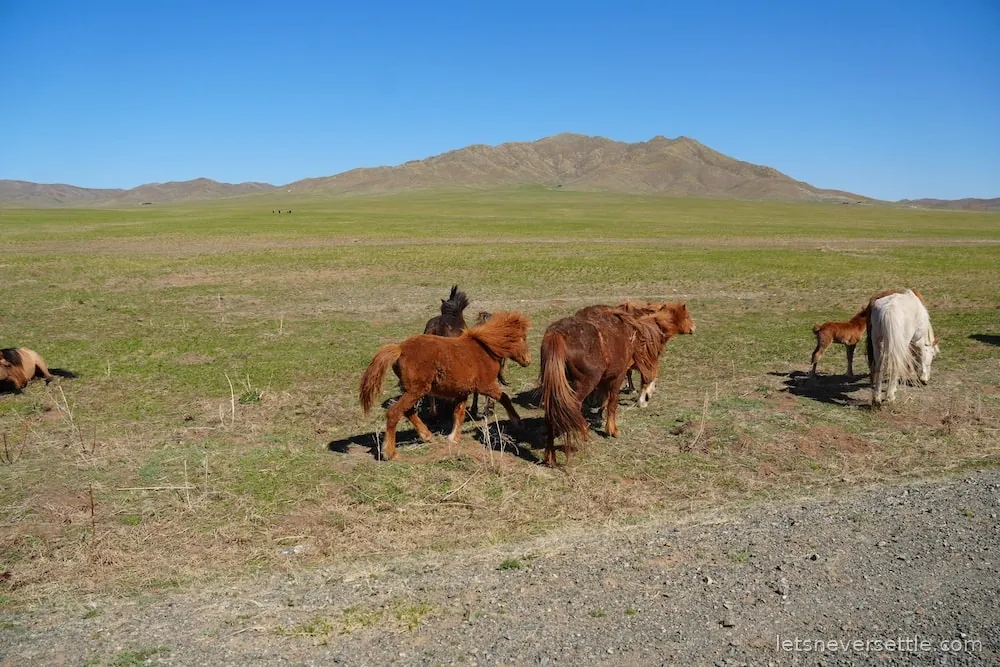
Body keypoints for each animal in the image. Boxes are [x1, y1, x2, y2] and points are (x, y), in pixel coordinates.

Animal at [360, 311, 531, 460]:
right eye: (522, 338)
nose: (528, 360)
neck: (485, 348)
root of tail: (399, 349)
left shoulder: (463, 391)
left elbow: (458, 413)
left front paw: (453, 437)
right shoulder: (486, 386)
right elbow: (505, 398)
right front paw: (518, 422)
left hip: (413, 390)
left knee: (407, 410)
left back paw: (427, 435)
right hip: (417, 390)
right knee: (394, 412)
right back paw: (390, 453)